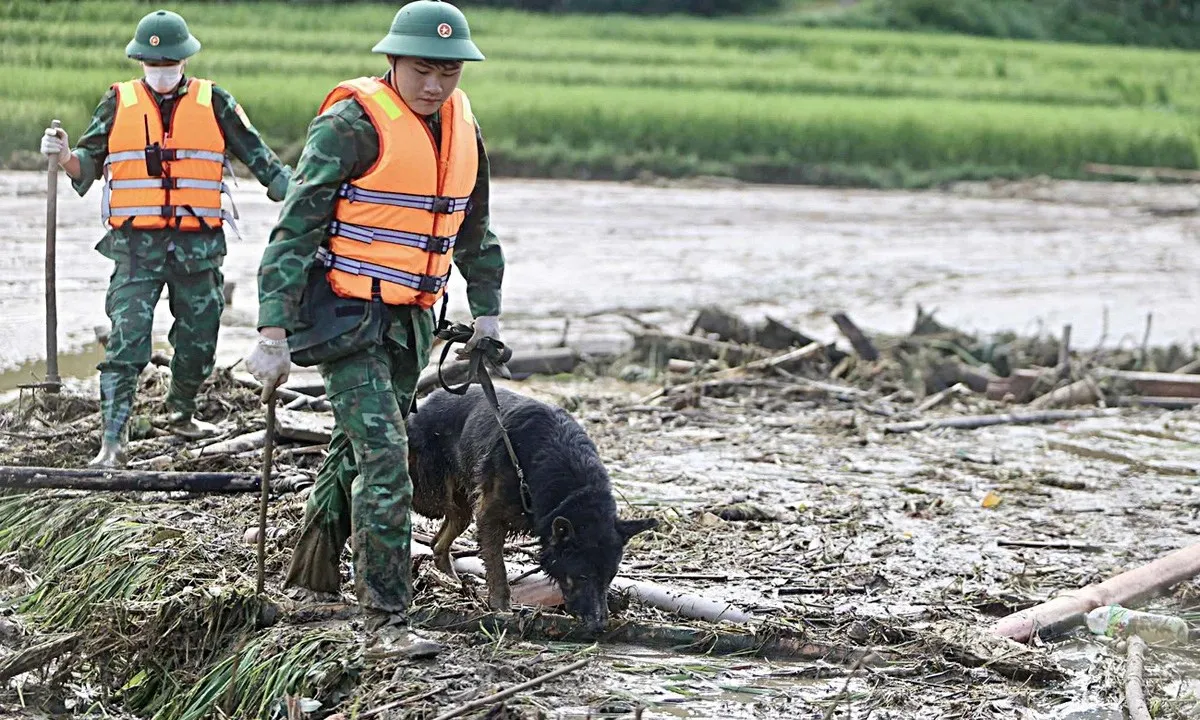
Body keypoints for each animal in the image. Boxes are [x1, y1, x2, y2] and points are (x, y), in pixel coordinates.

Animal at [408, 386, 662, 628]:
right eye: (582, 577)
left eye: (609, 578)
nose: (599, 626)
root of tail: (424, 403)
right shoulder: (490, 516)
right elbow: (498, 568)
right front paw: (501, 607)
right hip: (430, 497)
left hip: (459, 506)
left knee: (439, 541)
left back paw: (451, 581)